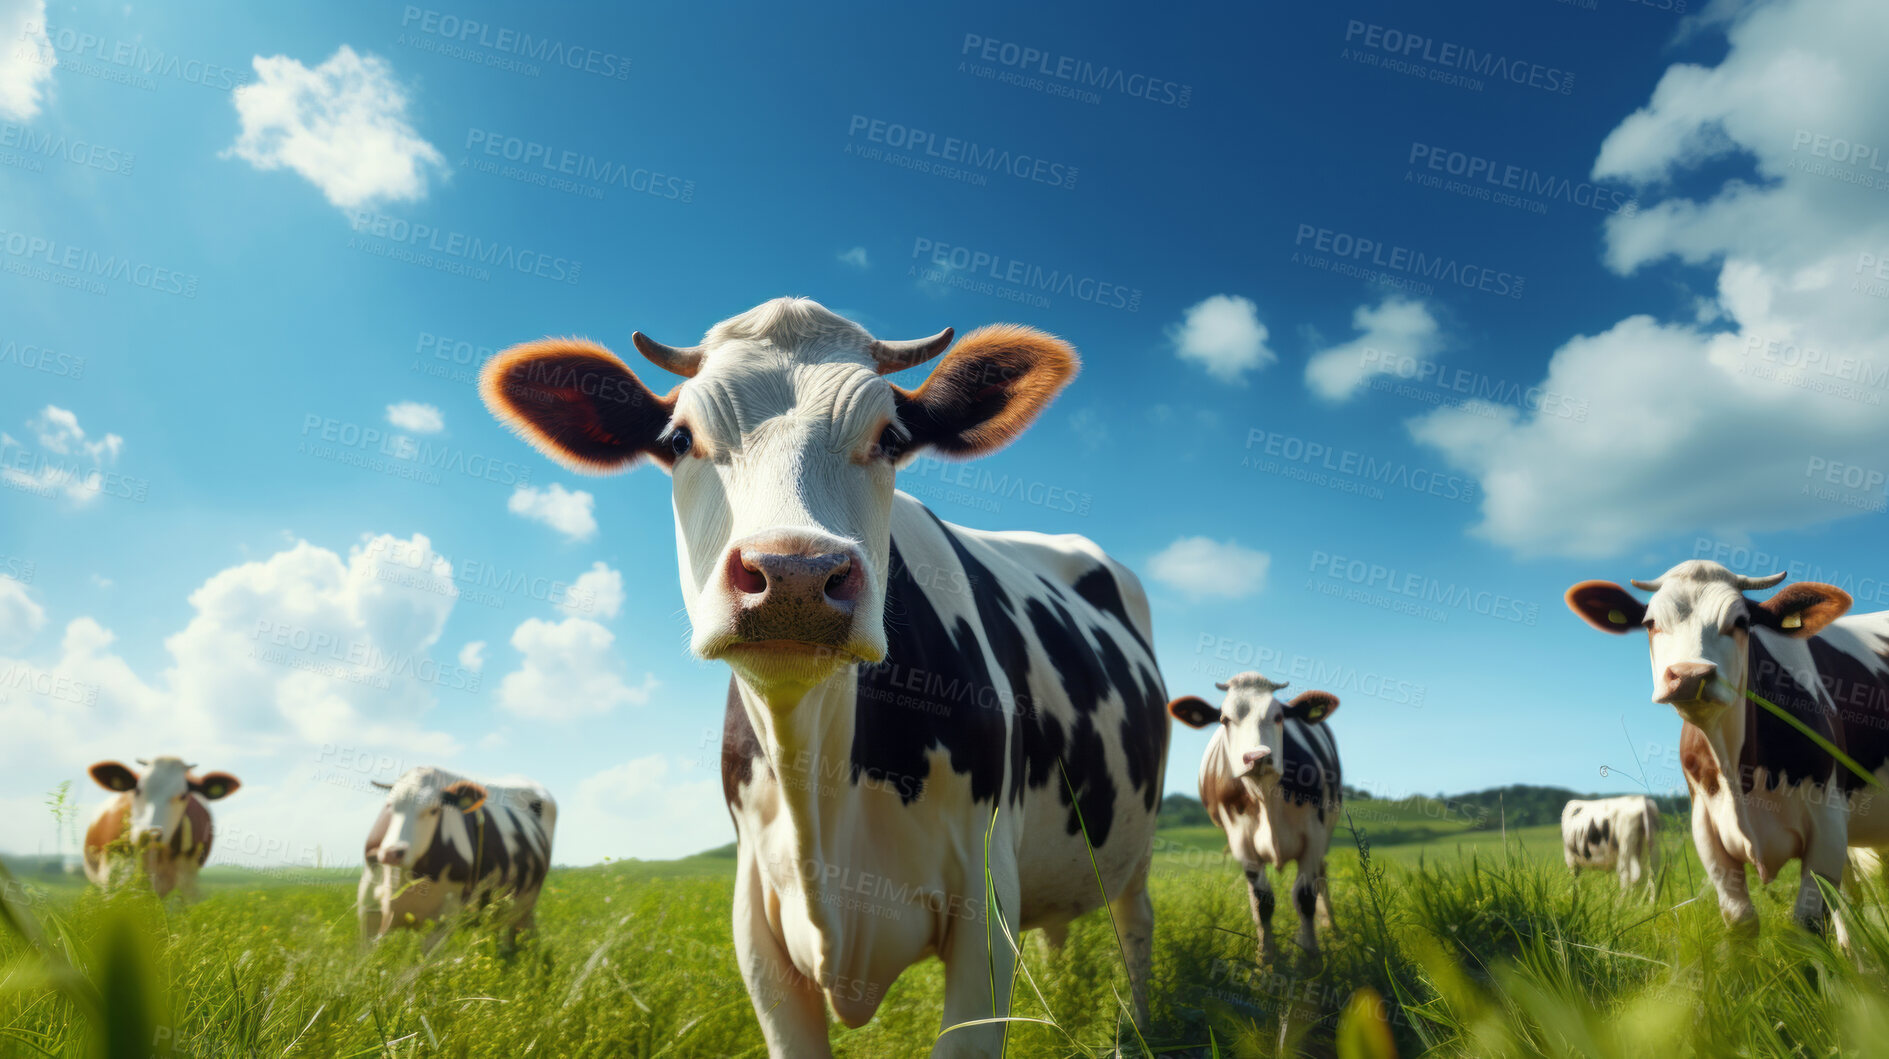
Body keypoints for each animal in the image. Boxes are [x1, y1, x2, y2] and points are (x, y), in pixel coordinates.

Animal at [357, 758, 555, 951]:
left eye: (434, 809)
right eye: (390, 806)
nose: (392, 853)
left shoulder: (443, 918)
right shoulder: (367, 910)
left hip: (524, 903)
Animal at [479, 298, 1171, 1057]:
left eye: (891, 436)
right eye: (679, 438)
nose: (794, 573)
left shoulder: (984, 907)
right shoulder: (756, 926)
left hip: (1137, 843)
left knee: (1135, 924)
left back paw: (1139, 1023)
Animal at [1163, 675, 1344, 966]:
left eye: (1279, 716)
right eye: (1224, 719)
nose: (1257, 756)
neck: (1264, 793)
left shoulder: (1314, 838)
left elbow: (1305, 897)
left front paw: (1311, 958)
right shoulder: (1242, 843)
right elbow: (1263, 902)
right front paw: (1266, 960)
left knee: (1321, 876)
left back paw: (1332, 928)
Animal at [1564, 558, 1889, 936]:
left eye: (1741, 622)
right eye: (1650, 623)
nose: (1690, 675)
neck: (1739, 772)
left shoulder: (1828, 825)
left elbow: (1808, 923)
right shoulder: (1706, 831)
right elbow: (1740, 921)